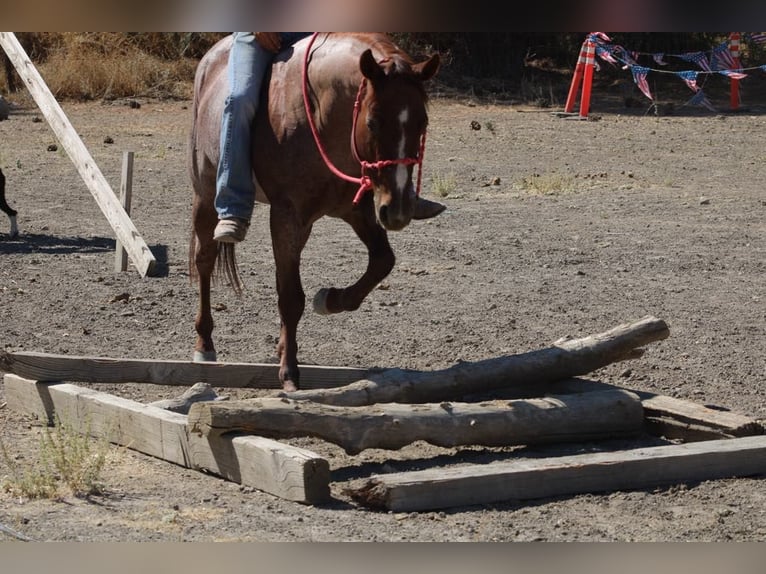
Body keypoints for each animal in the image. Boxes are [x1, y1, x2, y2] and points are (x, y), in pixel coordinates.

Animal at [189, 31, 440, 392]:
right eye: (373, 122)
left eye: (423, 122)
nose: (399, 210)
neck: (320, 119)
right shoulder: (286, 216)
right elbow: (291, 297)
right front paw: (289, 373)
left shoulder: (356, 210)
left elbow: (382, 261)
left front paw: (329, 300)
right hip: (205, 196)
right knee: (205, 261)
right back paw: (204, 344)